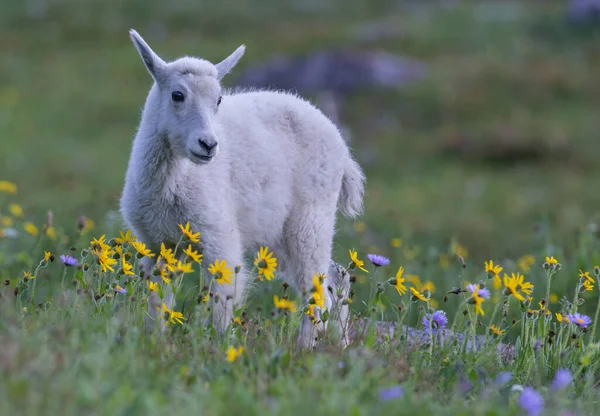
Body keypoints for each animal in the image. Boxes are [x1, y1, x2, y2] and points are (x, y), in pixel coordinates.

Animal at [119, 30, 364, 348]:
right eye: (177, 95)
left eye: (219, 99)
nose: (208, 144)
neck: (174, 179)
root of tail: (344, 152)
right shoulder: (157, 243)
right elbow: (157, 299)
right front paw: (154, 343)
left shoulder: (217, 234)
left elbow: (223, 298)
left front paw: (219, 349)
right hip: (280, 233)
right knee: (337, 277)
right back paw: (340, 345)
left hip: (311, 218)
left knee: (317, 290)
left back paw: (304, 349)